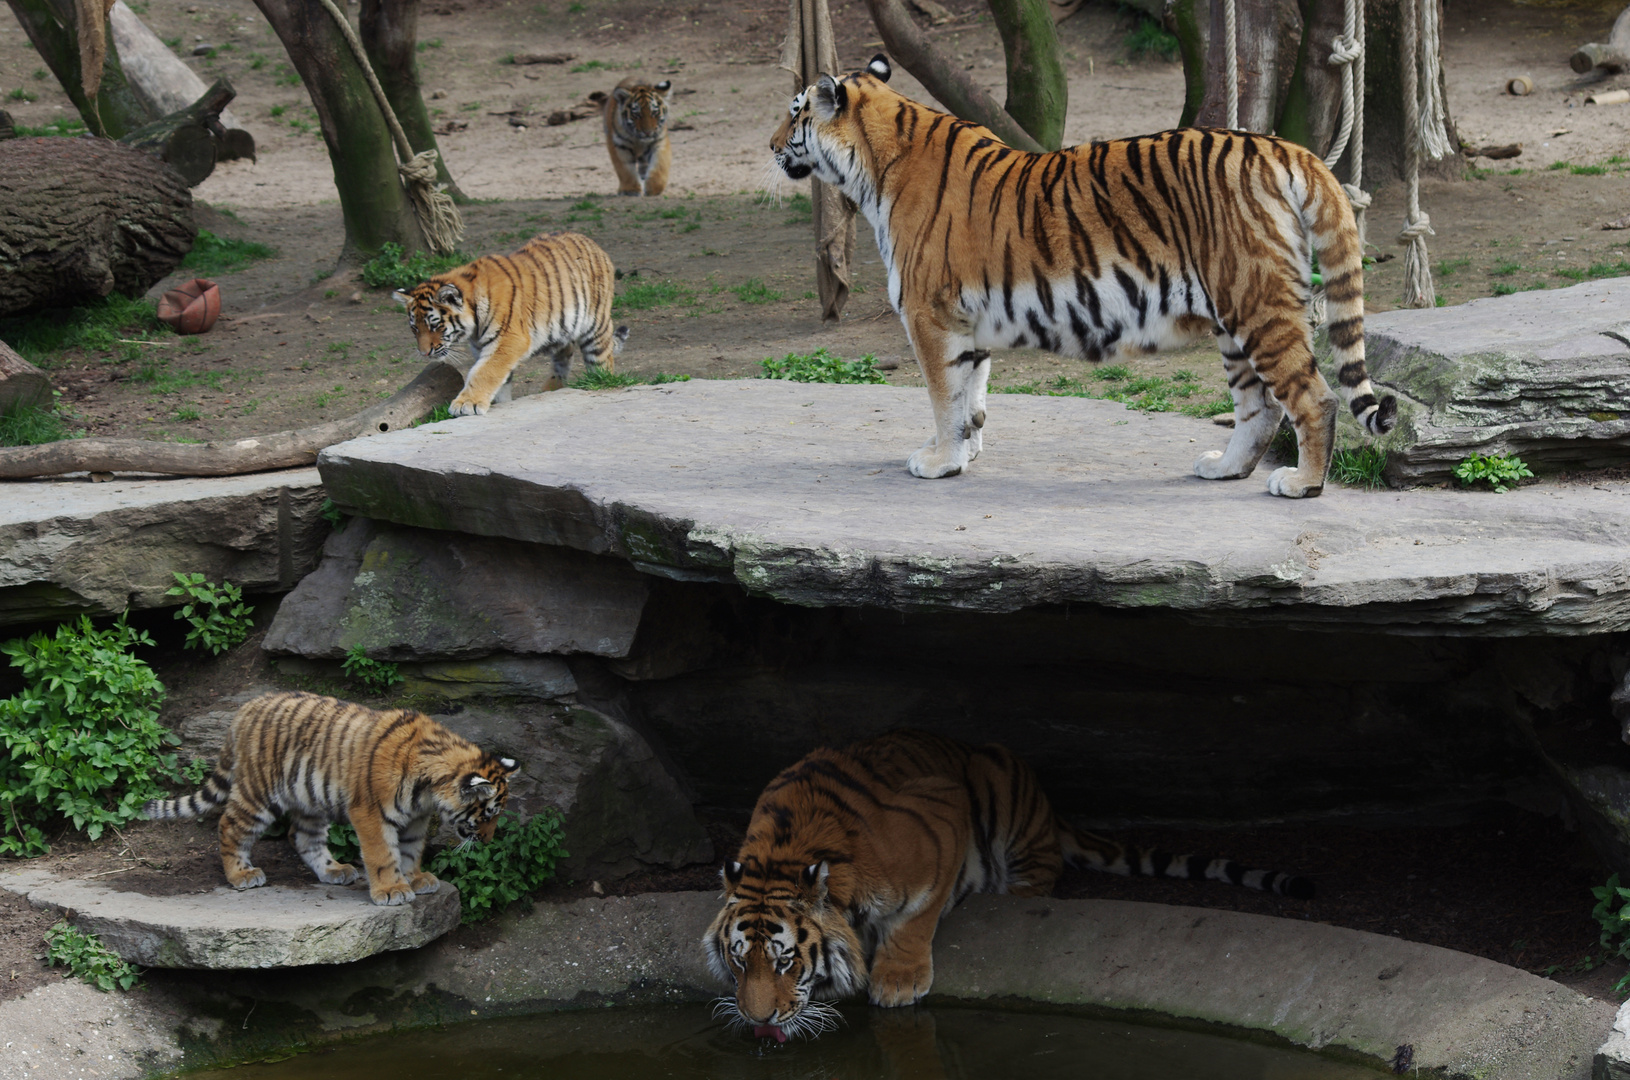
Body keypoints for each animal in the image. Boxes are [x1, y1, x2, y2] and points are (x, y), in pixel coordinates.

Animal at [769, 54, 1395, 498]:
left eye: (796, 111)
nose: (772, 145)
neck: (873, 166)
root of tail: (1285, 148)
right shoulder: (966, 321)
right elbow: (970, 395)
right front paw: (964, 454)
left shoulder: (929, 313)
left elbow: (944, 395)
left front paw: (938, 461)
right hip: (1232, 318)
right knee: (1259, 408)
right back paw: (1225, 469)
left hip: (1257, 304)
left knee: (1313, 398)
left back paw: (1302, 484)